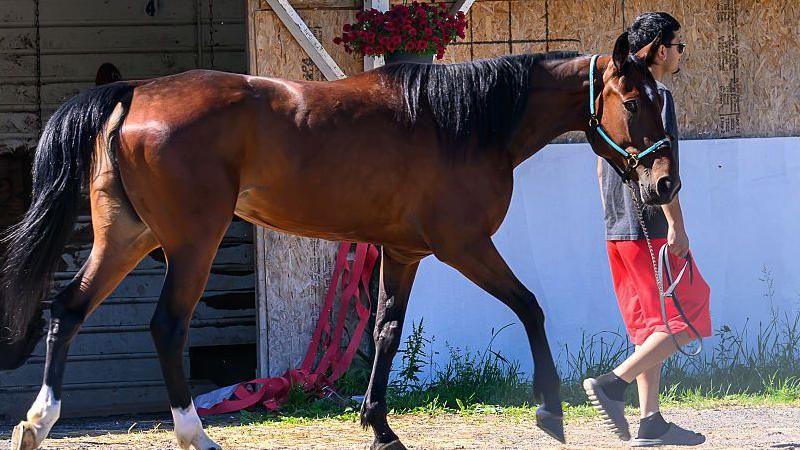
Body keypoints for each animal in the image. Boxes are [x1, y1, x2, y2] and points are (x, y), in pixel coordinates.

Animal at [1, 30, 677, 450]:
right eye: (634, 99)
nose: (665, 183)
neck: (462, 123)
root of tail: (135, 92)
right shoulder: (463, 246)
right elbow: (530, 306)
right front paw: (550, 410)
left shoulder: (403, 252)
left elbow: (385, 331)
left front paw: (379, 426)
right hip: (191, 243)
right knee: (167, 325)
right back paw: (195, 433)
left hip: (126, 236)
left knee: (67, 311)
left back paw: (37, 422)